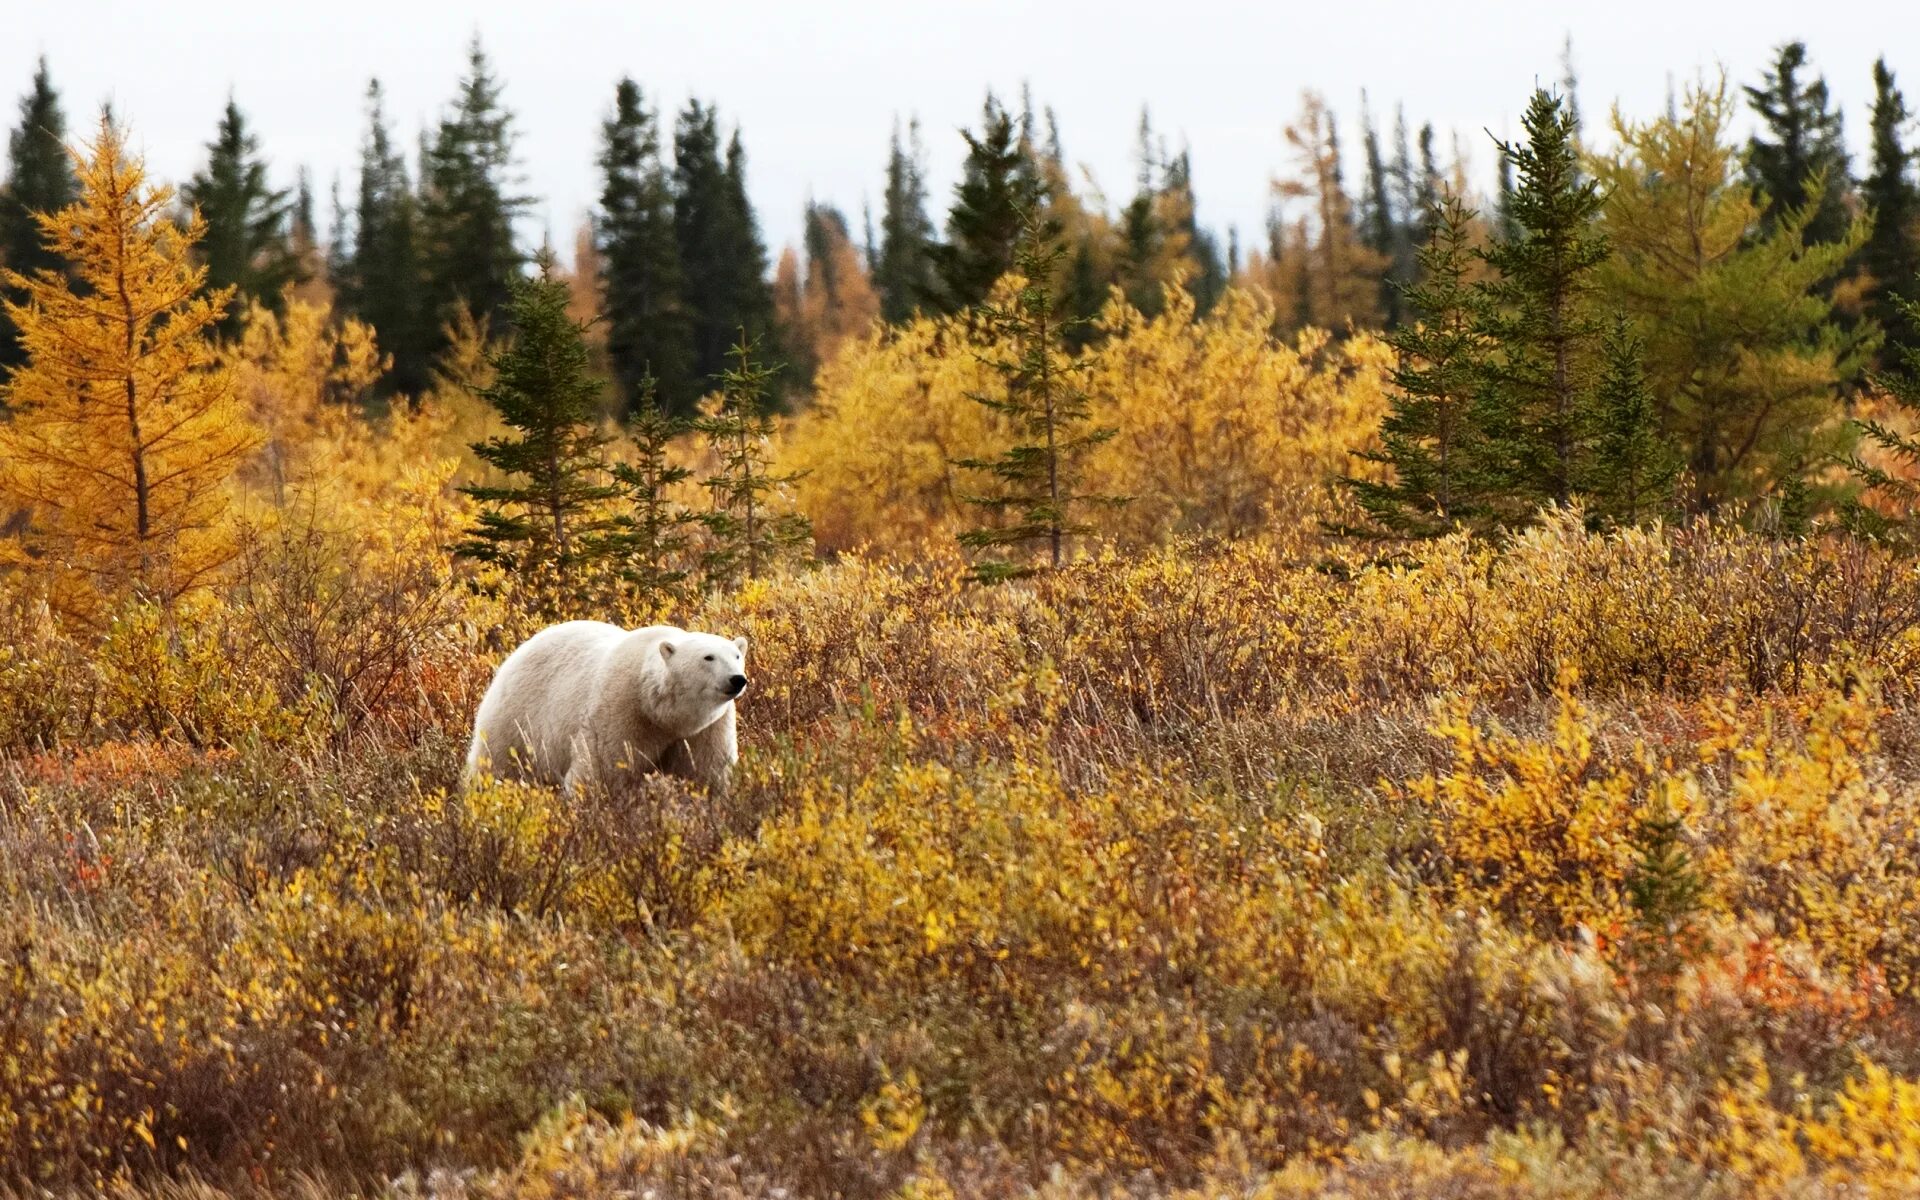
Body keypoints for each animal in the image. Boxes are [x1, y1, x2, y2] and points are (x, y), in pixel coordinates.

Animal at [464, 618, 748, 794]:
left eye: (736, 655)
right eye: (708, 657)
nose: (737, 679)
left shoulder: (706, 728)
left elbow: (706, 772)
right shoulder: (621, 707)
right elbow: (600, 770)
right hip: (518, 714)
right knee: (495, 762)